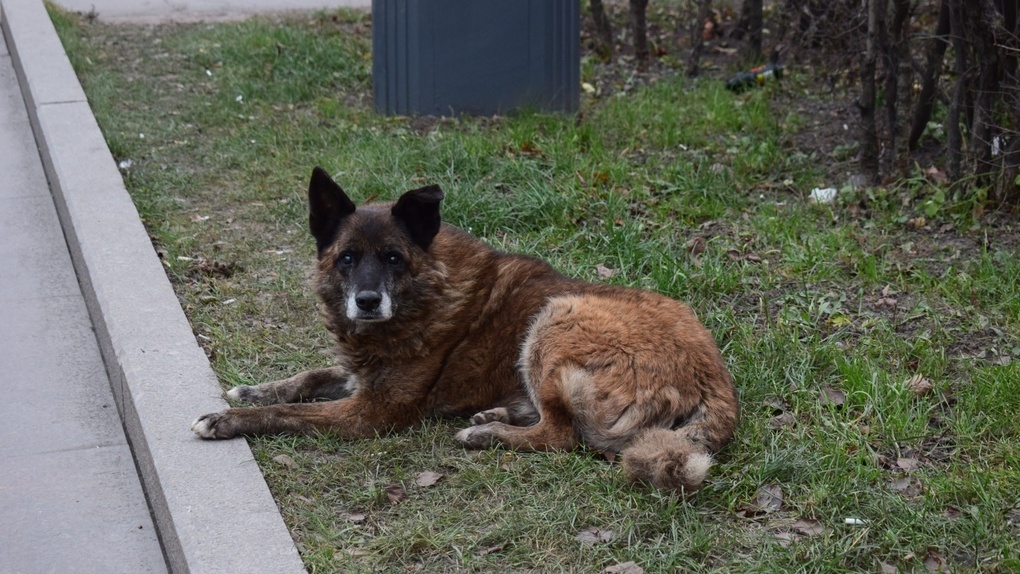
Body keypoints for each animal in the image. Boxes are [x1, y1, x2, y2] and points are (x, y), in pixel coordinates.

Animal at [191, 167, 738, 493]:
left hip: (555, 320)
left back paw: (488, 433)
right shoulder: (358, 374)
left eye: (393, 258)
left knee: (562, 435)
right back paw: (495, 414)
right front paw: (252, 389)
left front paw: (227, 420)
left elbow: (288, 413)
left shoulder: (371, 413)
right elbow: (306, 378)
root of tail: (716, 382)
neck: (426, 291)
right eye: (347, 258)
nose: (367, 302)